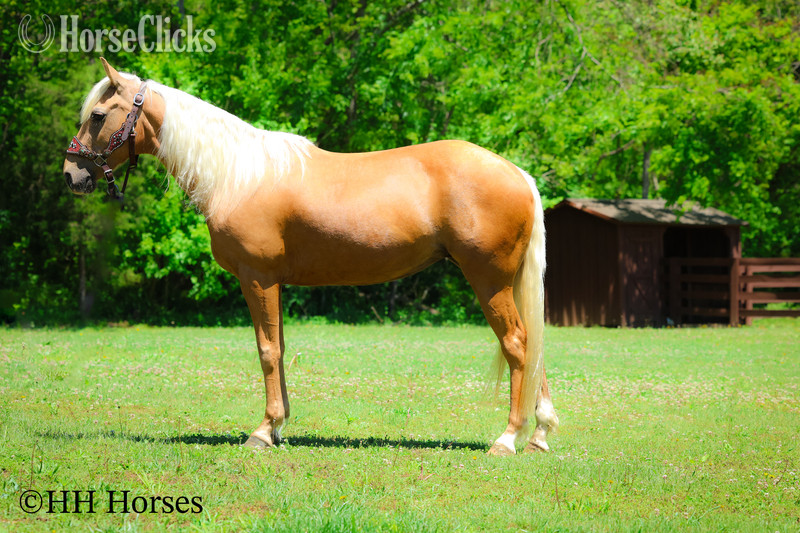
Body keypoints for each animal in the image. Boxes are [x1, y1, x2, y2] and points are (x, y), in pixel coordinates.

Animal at [63, 58, 559, 456]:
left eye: (99, 115)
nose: (71, 174)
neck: (238, 176)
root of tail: (518, 174)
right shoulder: (274, 283)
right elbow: (279, 349)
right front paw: (278, 427)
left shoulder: (256, 277)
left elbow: (266, 350)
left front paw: (263, 432)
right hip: (507, 283)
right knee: (532, 347)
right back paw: (538, 435)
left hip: (489, 281)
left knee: (517, 344)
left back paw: (507, 439)